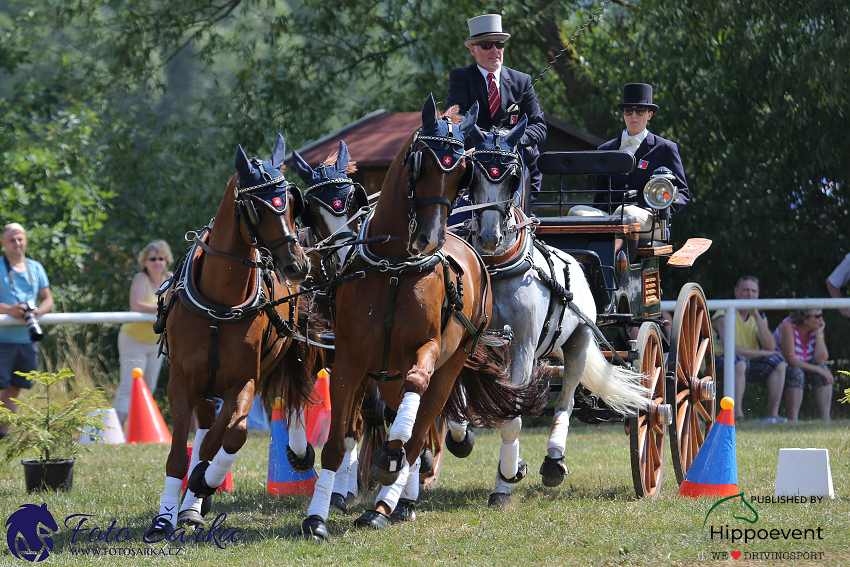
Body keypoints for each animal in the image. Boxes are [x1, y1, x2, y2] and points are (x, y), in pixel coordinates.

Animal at [149, 135, 318, 536]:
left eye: (292, 202)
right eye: (258, 207)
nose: (297, 265)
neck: (219, 305)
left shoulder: (243, 381)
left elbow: (227, 438)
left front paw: (202, 485)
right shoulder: (181, 381)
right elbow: (181, 454)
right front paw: (165, 518)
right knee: (205, 424)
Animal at [294, 94, 540, 540]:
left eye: (460, 172)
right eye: (421, 164)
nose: (431, 237)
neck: (394, 267)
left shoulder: (426, 352)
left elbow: (413, 406)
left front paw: (389, 467)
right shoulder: (349, 361)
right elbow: (338, 441)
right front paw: (317, 516)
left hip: (451, 365)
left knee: (421, 426)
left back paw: (389, 503)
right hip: (385, 374)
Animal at [458, 118, 648, 506]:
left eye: (513, 177)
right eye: (470, 174)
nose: (488, 238)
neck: (500, 268)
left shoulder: (523, 347)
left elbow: (512, 417)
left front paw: (504, 483)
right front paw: (473, 445)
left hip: (579, 343)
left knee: (564, 401)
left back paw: (553, 462)